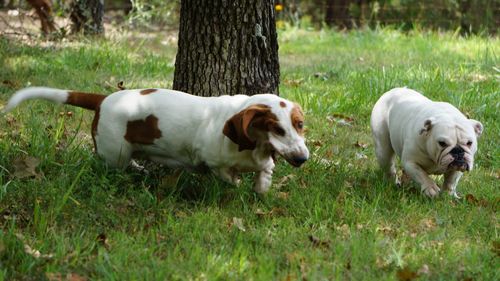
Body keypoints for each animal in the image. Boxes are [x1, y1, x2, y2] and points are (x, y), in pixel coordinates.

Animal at [2, 87, 308, 192]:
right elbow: (226, 175)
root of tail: (104, 99)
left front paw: (262, 185)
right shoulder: (213, 161)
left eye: (300, 124)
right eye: (277, 129)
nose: (303, 158)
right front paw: (237, 183)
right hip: (115, 154)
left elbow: (265, 171)